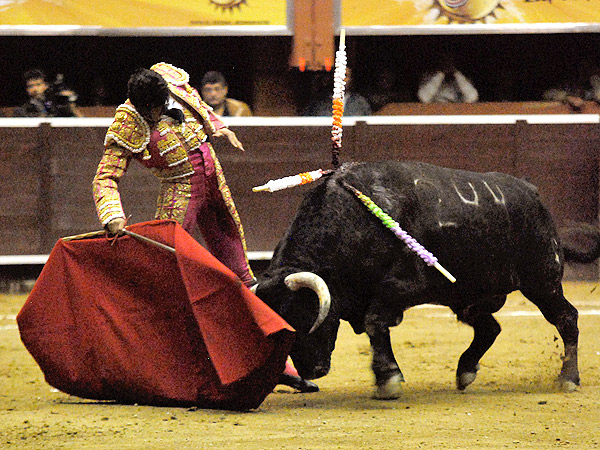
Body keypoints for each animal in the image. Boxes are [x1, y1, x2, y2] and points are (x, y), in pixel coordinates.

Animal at [252, 160, 580, 399]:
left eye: (302, 316)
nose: (311, 371)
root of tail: (531, 191)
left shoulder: (403, 286)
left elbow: (374, 321)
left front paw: (388, 380)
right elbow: (374, 326)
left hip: (542, 281)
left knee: (566, 318)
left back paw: (568, 379)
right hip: (467, 297)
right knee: (490, 328)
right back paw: (465, 372)